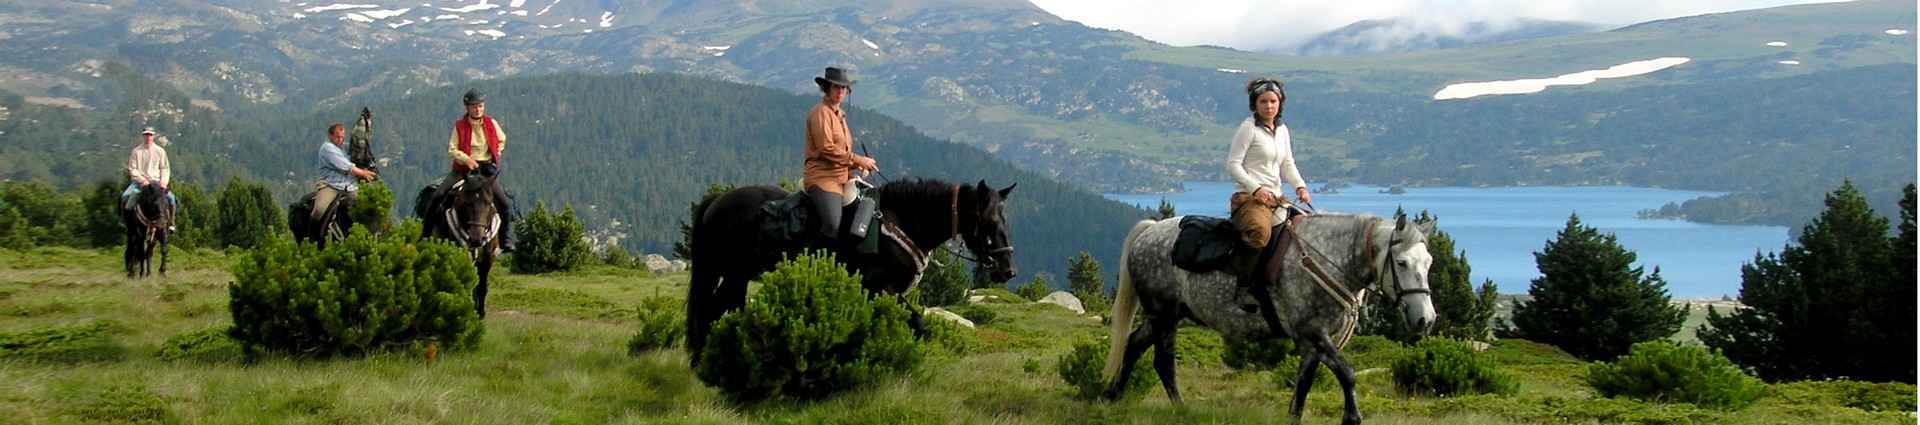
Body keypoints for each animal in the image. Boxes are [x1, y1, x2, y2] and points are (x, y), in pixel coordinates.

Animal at [416, 169, 503, 319]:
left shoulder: (487, 259)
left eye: (489, 202)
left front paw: (480, 314)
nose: (476, 239)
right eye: (466, 203)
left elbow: (481, 287)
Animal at [687, 177, 1021, 363]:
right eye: (990, 222)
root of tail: (717, 200)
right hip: (731, 272)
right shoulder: (881, 288)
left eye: (1006, 220)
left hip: (736, 274)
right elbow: (919, 325)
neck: (898, 223)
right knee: (712, 310)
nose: (1007, 270)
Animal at [1105, 214, 1436, 423]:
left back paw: (1113, 396)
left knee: (1133, 344)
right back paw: (1180, 409)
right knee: (1163, 361)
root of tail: (1148, 232)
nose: (1426, 319)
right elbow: (1348, 373)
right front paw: (1352, 417)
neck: (1327, 262)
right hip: (1165, 315)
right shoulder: (1314, 332)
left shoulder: (1313, 341)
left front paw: (1294, 417)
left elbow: (1304, 384)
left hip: (1162, 315)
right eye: (1402, 262)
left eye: (1429, 262)